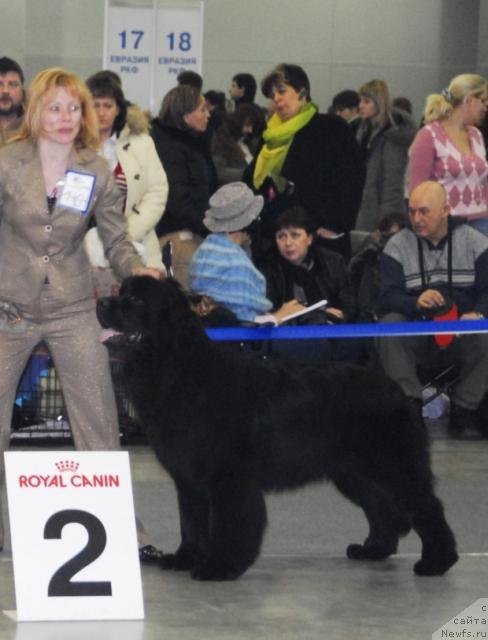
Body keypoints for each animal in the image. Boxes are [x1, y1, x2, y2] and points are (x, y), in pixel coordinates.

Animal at [98, 276, 458, 580]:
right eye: (120, 290)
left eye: (136, 300)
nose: (100, 303)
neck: (176, 368)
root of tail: (397, 390)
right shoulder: (189, 478)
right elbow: (191, 521)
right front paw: (185, 558)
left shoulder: (229, 476)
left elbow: (230, 522)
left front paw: (219, 566)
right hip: (354, 472)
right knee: (381, 508)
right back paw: (373, 550)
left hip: (393, 464)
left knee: (427, 506)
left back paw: (436, 562)